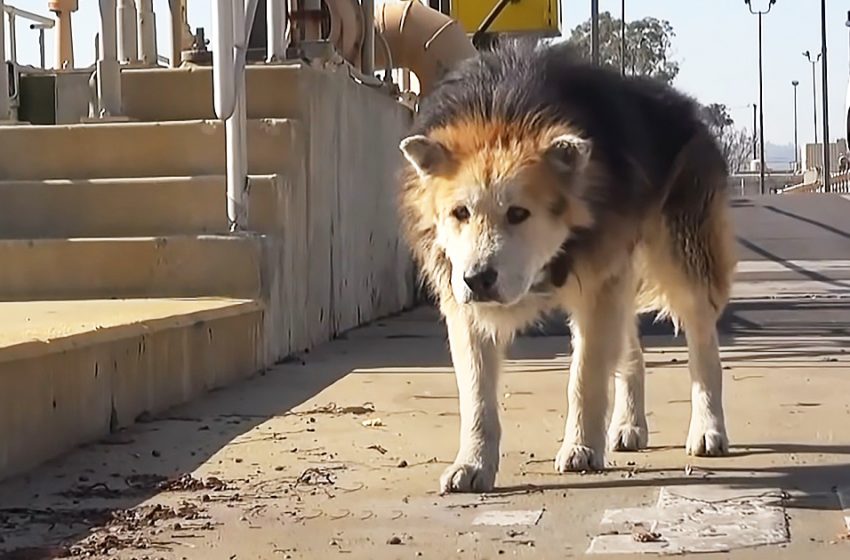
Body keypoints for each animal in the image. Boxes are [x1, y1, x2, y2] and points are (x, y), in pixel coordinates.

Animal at [398, 40, 736, 494]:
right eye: (460, 213)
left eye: (519, 213)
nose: (478, 279)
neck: (502, 109)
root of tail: (686, 108)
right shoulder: (464, 304)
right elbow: (475, 395)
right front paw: (472, 462)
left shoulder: (597, 285)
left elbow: (585, 376)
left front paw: (581, 449)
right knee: (632, 349)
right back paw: (629, 424)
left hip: (683, 258)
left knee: (703, 345)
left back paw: (708, 429)